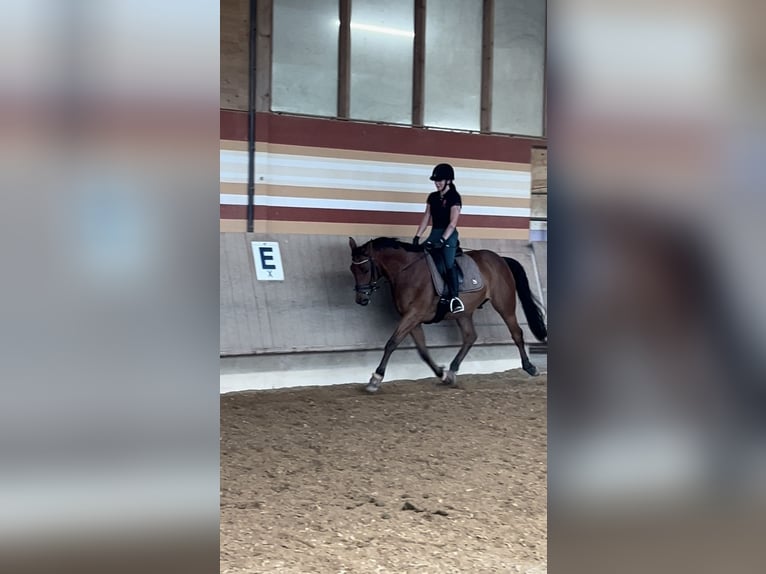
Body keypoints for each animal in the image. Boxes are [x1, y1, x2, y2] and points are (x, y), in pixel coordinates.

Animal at [348, 237, 547, 393]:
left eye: (365, 269)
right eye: (352, 269)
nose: (361, 299)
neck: (407, 271)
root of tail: (500, 259)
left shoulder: (413, 314)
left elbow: (391, 343)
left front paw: (375, 379)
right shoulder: (412, 318)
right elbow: (422, 351)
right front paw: (442, 374)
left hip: (504, 304)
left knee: (516, 333)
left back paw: (530, 367)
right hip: (464, 312)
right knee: (470, 336)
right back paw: (452, 371)